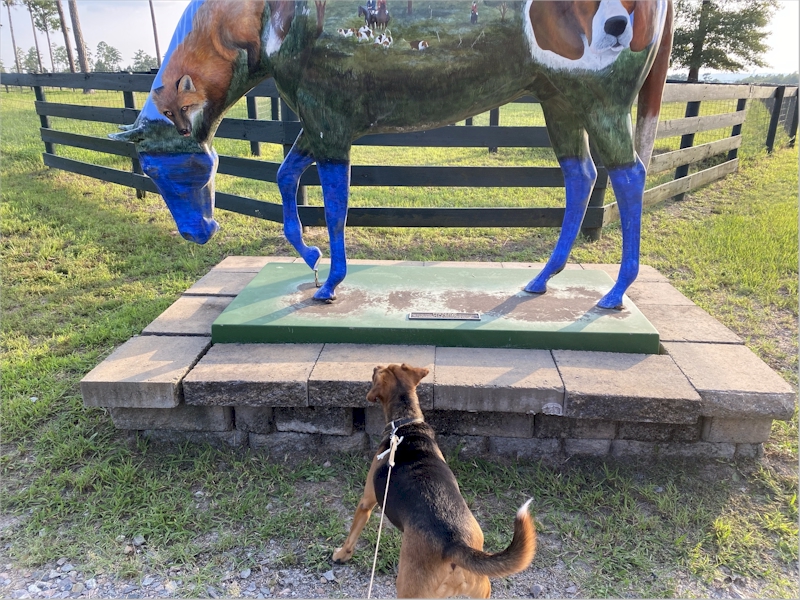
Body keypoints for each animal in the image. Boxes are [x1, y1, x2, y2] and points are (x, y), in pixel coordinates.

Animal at [332, 364, 536, 596]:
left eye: (380, 371)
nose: (375, 366)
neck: (406, 423)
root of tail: (455, 546)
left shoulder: (366, 502)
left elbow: (352, 534)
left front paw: (342, 555)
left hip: (409, 590)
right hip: (481, 589)